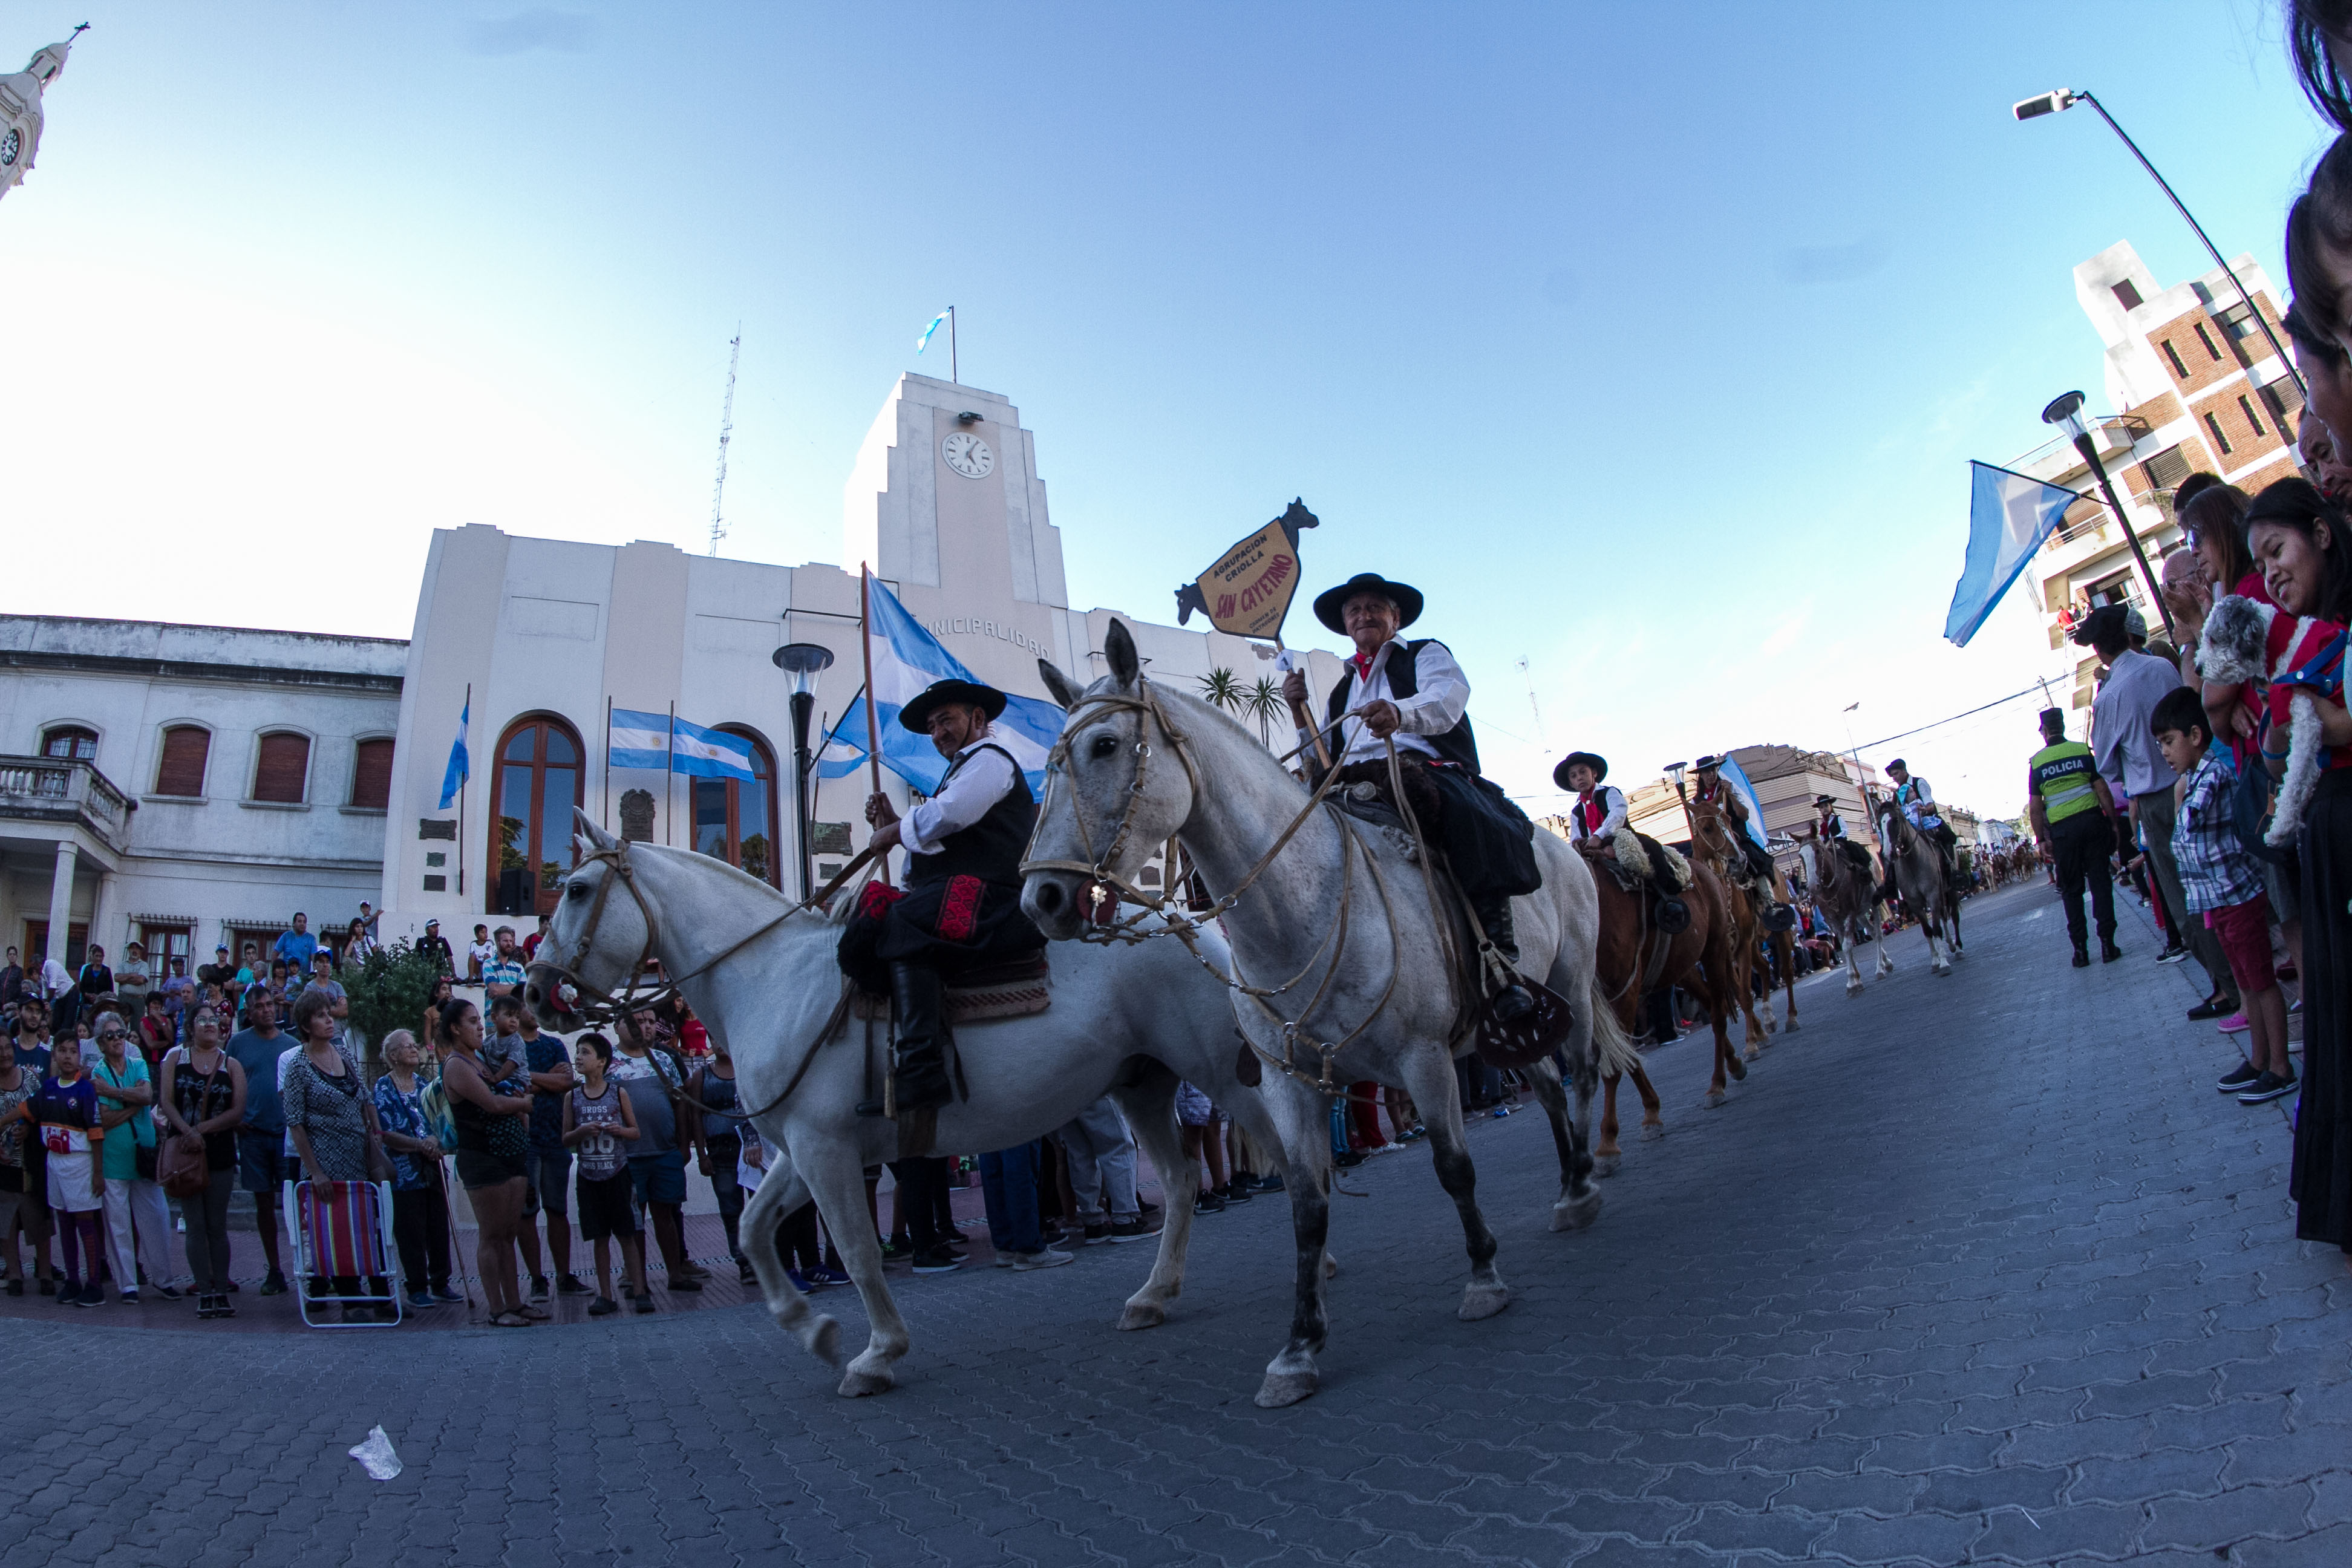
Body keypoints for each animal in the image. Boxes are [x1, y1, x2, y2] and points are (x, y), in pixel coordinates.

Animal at [529, 818, 1289, 1401]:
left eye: (578, 889)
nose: (538, 992)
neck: (771, 980)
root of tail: (1187, 924)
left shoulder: (825, 1151)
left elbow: (857, 1250)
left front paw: (875, 1355)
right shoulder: (803, 1151)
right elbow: (752, 1229)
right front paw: (814, 1328)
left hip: (1224, 1076)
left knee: (1284, 1155)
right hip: (1144, 1086)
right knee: (1185, 1182)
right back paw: (1154, 1296)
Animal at [1030, 620, 1637, 1410]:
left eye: (1105, 746)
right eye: (1050, 762)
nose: (1040, 898)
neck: (1300, 912)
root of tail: (1563, 845)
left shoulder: (1424, 1059)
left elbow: (1453, 1166)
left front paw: (1483, 1278)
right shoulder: (1291, 1083)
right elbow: (1307, 1201)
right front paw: (1298, 1349)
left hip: (1567, 983)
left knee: (1583, 1073)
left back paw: (1586, 1185)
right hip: (1504, 1029)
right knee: (1546, 1087)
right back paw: (1568, 1185)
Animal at [1590, 841, 1759, 1171]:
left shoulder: (1625, 992)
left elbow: (1617, 1064)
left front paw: (1606, 1146)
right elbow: (1627, 1058)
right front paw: (1651, 1114)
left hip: (1714, 951)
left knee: (1718, 1015)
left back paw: (1717, 1084)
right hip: (1683, 969)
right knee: (1711, 1002)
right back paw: (1735, 1063)